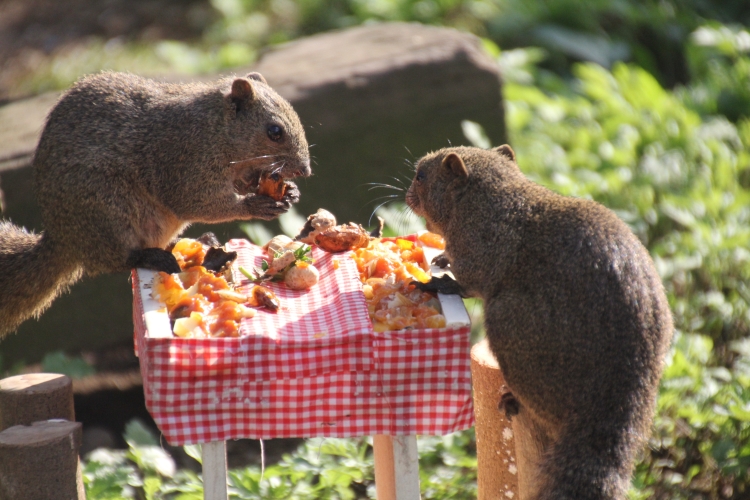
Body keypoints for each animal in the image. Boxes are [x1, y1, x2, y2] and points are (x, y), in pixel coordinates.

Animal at [0, 71, 310, 338]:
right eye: (274, 131)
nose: (305, 171)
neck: (215, 129)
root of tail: (63, 239)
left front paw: (290, 193)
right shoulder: (185, 164)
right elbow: (202, 202)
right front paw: (255, 205)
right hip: (108, 211)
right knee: (115, 261)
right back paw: (154, 257)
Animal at [407, 145, 673, 500]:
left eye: (421, 176)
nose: (406, 195)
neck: (487, 199)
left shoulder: (480, 249)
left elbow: (469, 280)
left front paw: (438, 280)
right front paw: (440, 259)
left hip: (512, 328)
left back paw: (514, 400)